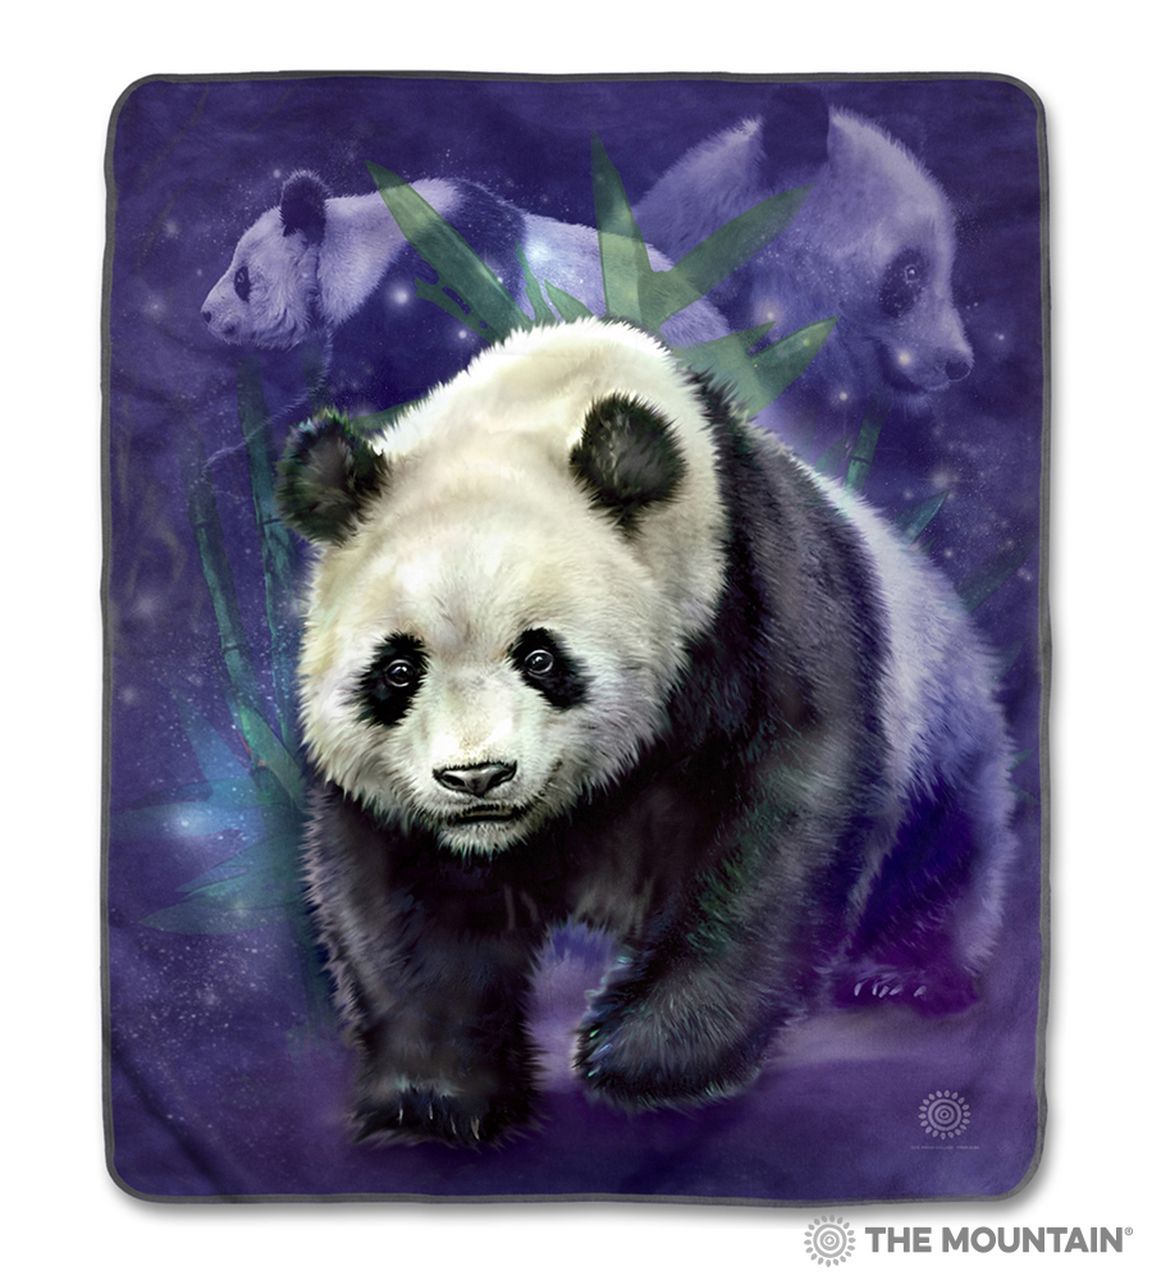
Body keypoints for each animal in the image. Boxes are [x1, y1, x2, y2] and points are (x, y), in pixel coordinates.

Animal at [275, 317, 1014, 1148]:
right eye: (399, 670)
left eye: (540, 657)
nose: (476, 778)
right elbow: (403, 889)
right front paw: (434, 1095)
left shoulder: (758, 596)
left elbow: (786, 816)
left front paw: (652, 1055)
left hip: (942, 736)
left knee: (941, 855)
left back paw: (901, 974)